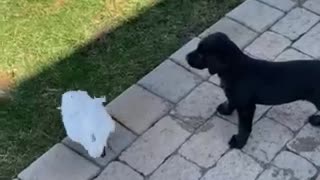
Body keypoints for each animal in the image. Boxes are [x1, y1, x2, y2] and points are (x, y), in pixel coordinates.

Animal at [186, 32, 320, 149]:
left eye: (201, 55)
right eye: (197, 48)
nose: (186, 57)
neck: (235, 68)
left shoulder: (246, 107)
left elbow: (244, 127)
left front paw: (238, 142)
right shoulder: (234, 96)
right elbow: (230, 103)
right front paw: (225, 110)